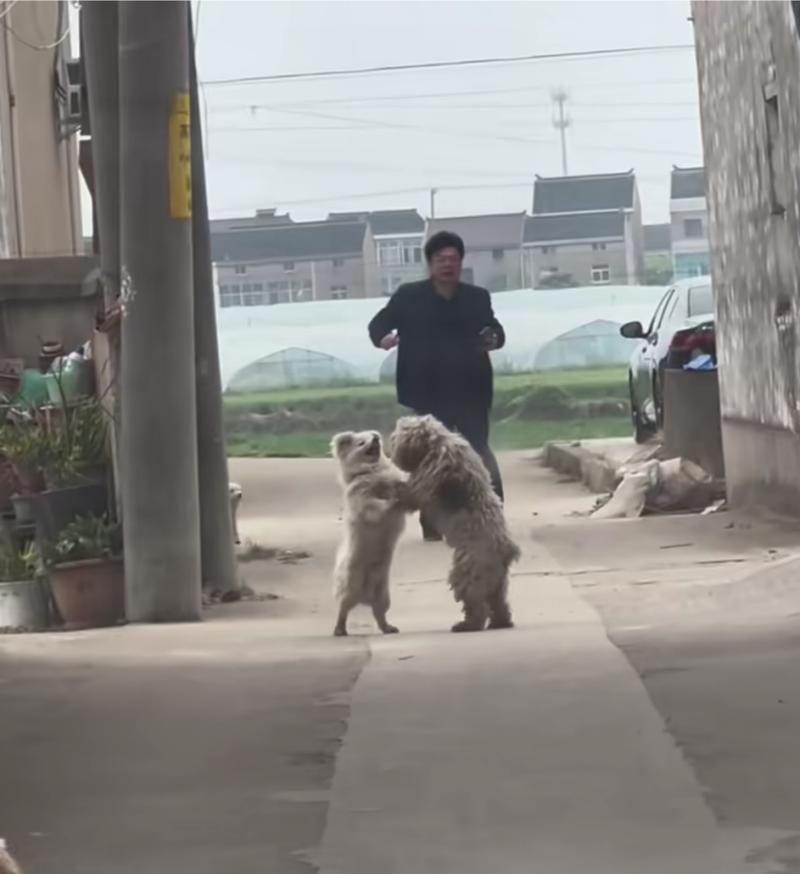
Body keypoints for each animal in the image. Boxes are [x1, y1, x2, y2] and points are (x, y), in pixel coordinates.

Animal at [328, 428, 412, 632]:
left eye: (374, 438)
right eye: (361, 443)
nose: (375, 437)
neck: (371, 471)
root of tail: (364, 597)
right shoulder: (362, 498)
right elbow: (373, 507)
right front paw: (391, 501)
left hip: (383, 593)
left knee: (379, 612)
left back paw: (388, 627)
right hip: (350, 583)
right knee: (343, 607)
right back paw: (339, 628)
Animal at [392, 412, 520, 632]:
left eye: (399, 433)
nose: (389, 444)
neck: (436, 441)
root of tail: (505, 550)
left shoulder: (428, 477)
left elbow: (412, 491)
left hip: (467, 572)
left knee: (475, 603)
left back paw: (468, 624)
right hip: (497, 581)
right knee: (498, 601)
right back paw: (500, 622)